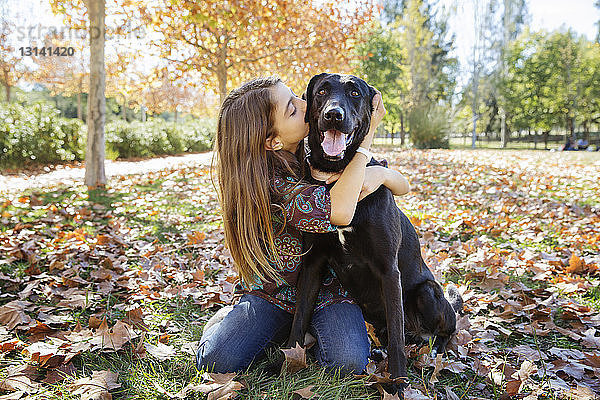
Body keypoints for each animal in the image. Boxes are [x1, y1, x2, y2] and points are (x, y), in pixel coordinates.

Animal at [286, 73, 460, 392]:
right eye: (322, 91)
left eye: (355, 93)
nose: (333, 115)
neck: (339, 179)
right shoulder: (313, 263)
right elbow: (299, 318)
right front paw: (286, 365)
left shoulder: (389, 270)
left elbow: (397, 340)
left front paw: (400, 386)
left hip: (427, 293)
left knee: (441, 330)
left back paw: (436, 352)